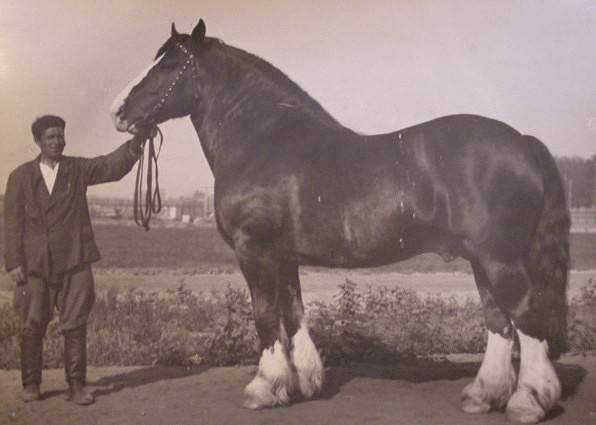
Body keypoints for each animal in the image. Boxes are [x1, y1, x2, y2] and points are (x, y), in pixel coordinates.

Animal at [109, 20, 572, 424]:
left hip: (499, 259)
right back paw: (482, 395)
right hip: (480, 260)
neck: (261, 140)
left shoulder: (254, 249)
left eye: (168, 65)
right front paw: (303, 382)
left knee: (526, 316)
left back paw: (527, 401)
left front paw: (263, 388)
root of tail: (523, 142)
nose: (118, 111)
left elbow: (264, 315)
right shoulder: (284, 256)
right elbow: (293, 312)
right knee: (500, 322)